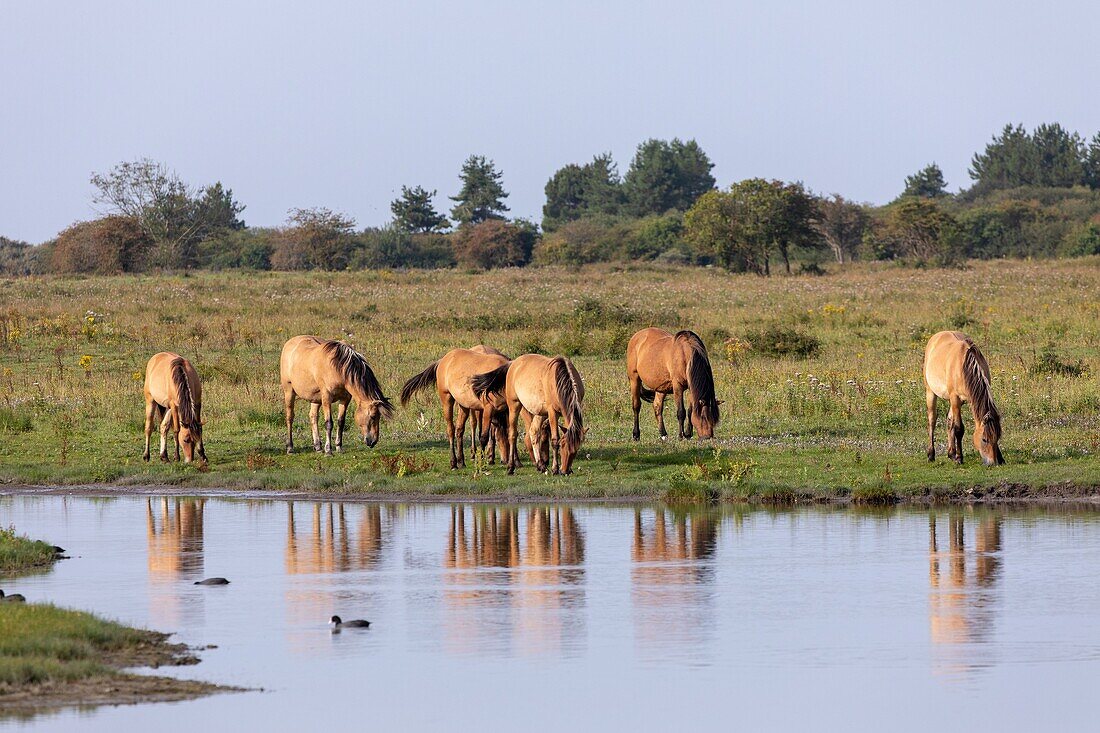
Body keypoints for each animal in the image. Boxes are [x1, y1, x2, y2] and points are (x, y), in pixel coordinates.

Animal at [919, 330, 1007, 462]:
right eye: (984, 439)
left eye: (997, 437)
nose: (993, 462)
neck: (964, 365)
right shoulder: (955, 398)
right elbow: (959, 429)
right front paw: (960, 458)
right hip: (931, 392)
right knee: (932, 420)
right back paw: (931, 455)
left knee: (949, 420)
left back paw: (951, 453)